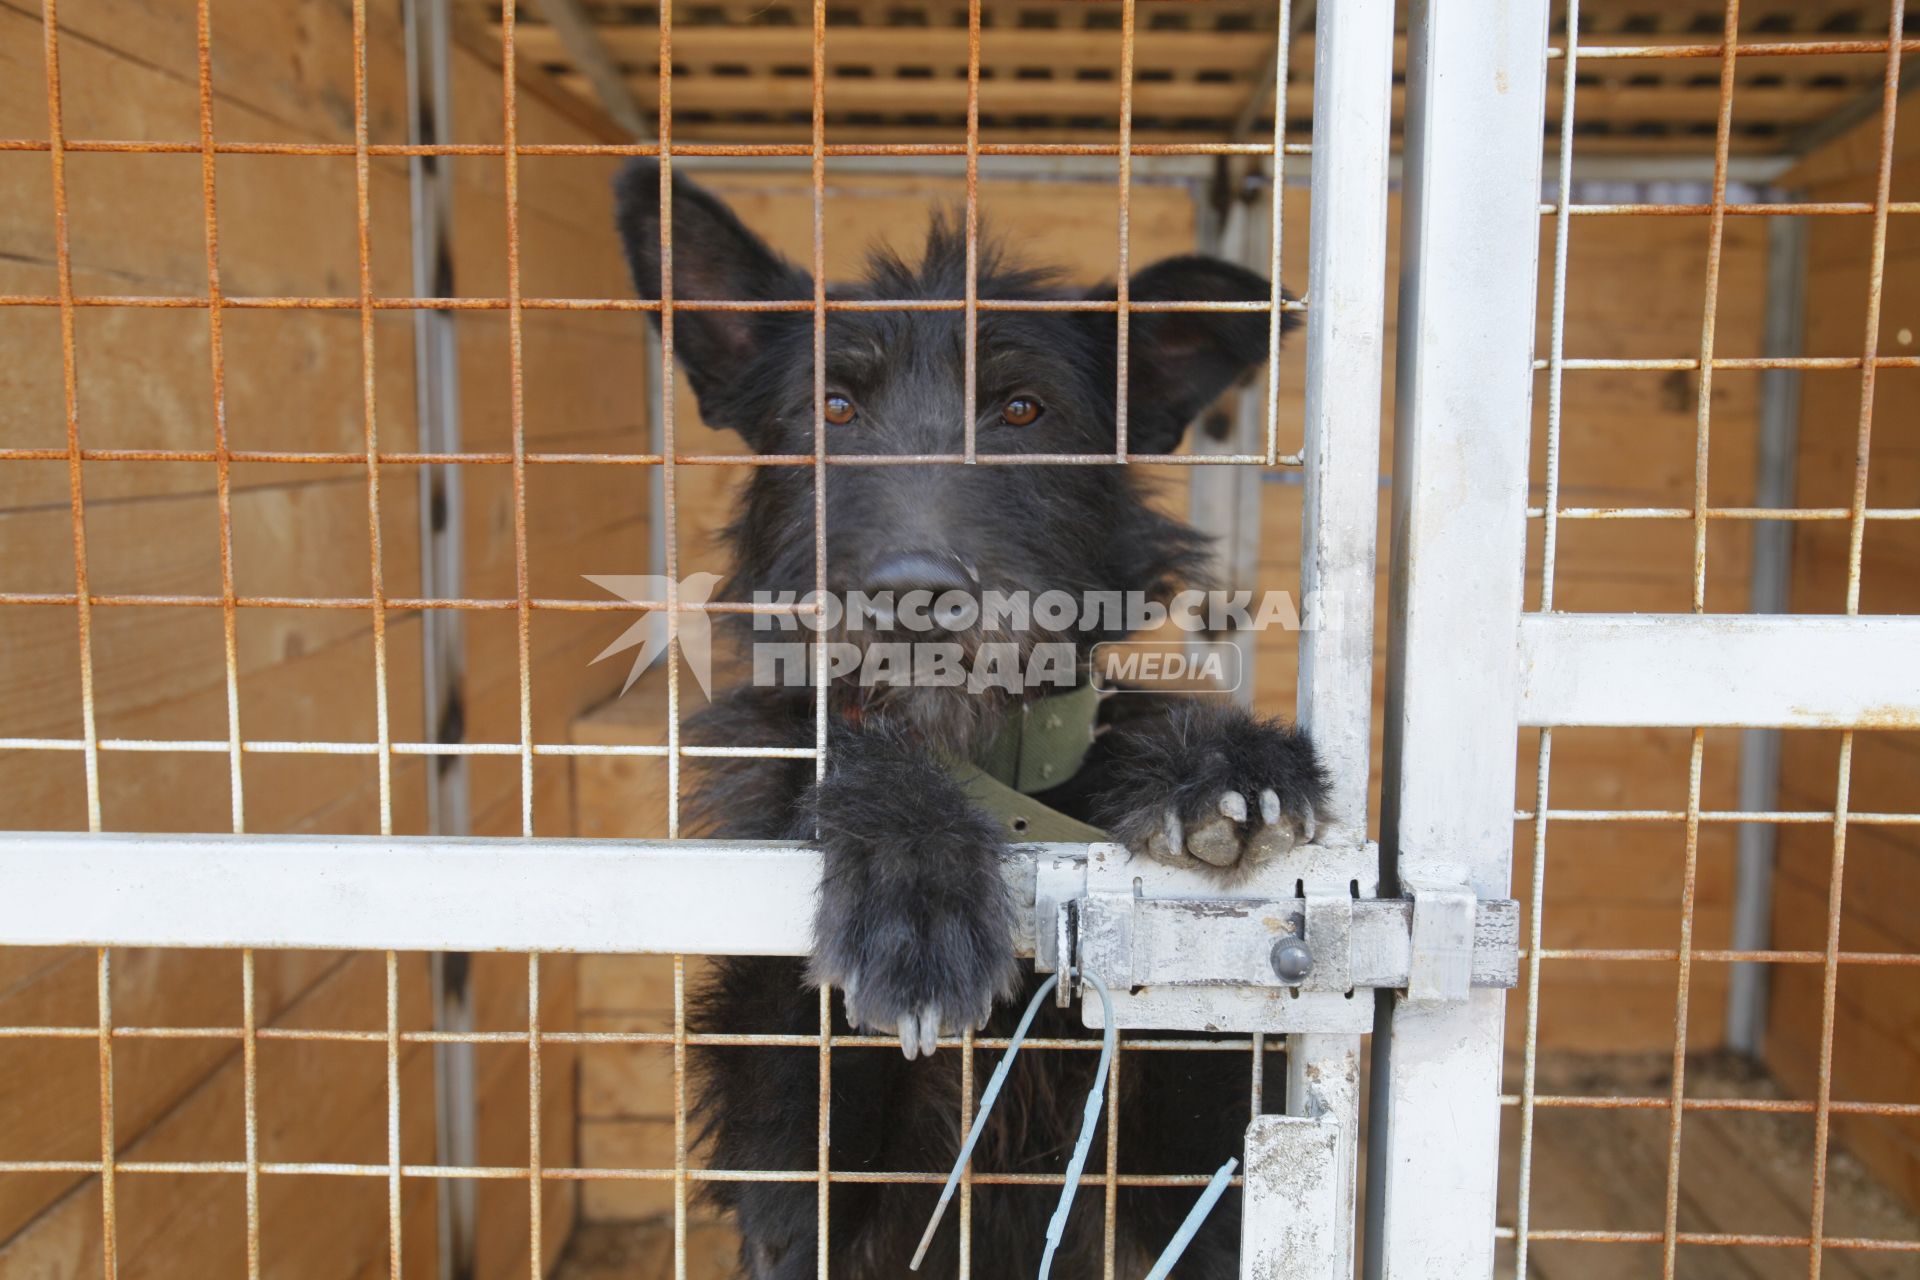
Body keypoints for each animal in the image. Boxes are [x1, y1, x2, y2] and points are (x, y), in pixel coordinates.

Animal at [610, 163, 1320, 1280]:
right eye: (833, 406)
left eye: (1024, 407)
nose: (914, 595)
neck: (971, 743)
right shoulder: (795, 1188)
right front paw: (914, 876)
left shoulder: (1196, 1183)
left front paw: (1214, 761)